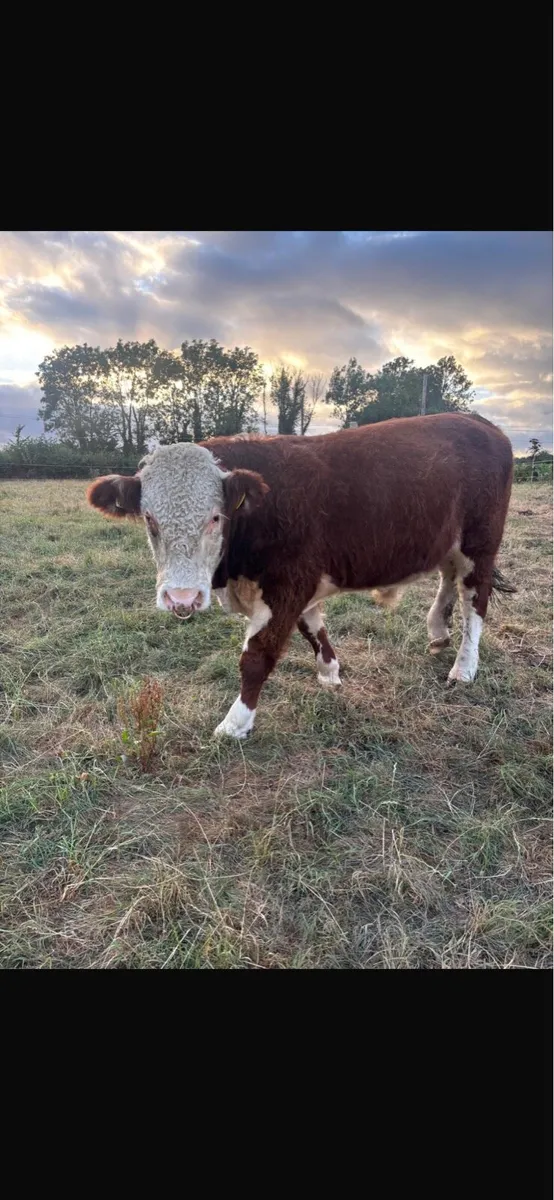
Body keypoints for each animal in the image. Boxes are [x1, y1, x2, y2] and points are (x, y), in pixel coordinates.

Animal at [87, 413, 514, 739]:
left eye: (215, 517)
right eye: (149, 519)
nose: (182, 598)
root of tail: (477, 421)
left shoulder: (288, 584)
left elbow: (257, 656)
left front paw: (235, 723)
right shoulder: (297, 585)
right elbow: (312, 626)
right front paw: (329, 672)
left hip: (480, 542)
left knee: (474, 600)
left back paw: (464, 667)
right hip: (449, 542)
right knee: (448, 579)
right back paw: (438, 631)